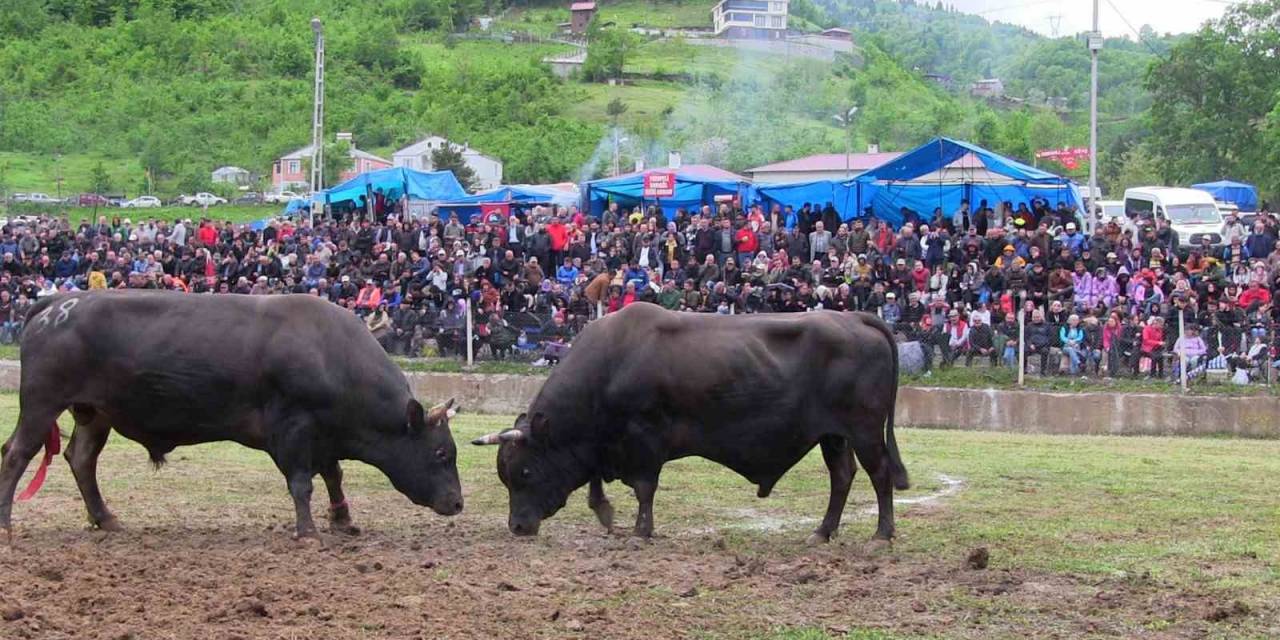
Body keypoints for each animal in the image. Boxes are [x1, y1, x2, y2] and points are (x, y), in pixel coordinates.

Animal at [473, 302, 911, 542]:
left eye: (525, 471)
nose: (517, 526)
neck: (611, 365)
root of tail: (854, 317)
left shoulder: (645, 440)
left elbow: (645, 489)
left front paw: (640, 530)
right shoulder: (604, 443)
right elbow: (597, 478)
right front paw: (605, 512)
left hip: (865, 431)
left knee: (880, 474)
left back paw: (881, 534)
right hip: (834, 435)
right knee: (842, 476)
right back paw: (822, 532)